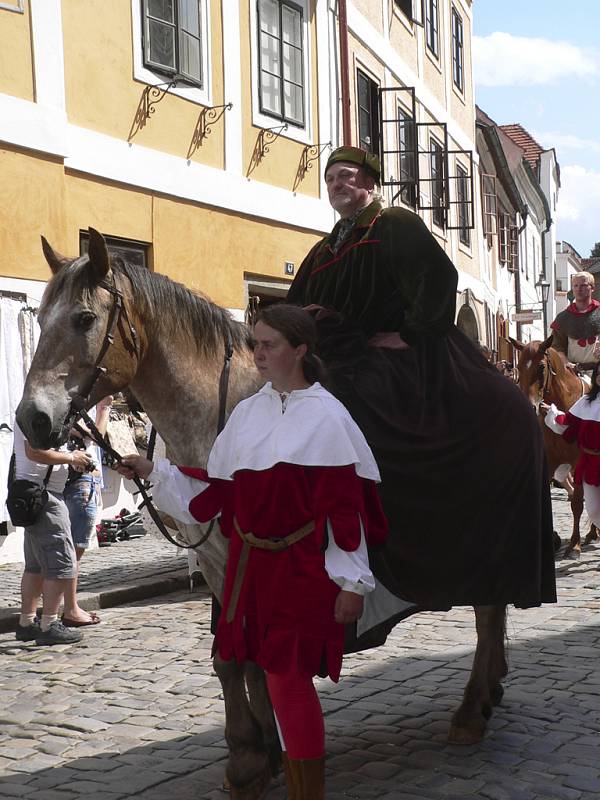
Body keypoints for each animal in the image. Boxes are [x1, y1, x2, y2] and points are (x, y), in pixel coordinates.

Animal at [19, 228, 510, 796]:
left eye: (83, 318)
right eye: (39, 318)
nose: (31, 419)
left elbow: (249, 653)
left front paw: (253, 756)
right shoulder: (219, 558)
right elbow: (234, 657)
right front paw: (260, 753)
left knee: (488, 610)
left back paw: (472, 709)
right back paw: (492, 688)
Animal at [512, 338, 596, 556]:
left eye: (541, 367)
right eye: (518, 367)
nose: (530, 407)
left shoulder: (578, 464)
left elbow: (577, 502)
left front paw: (574, 545)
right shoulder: (549, 462)